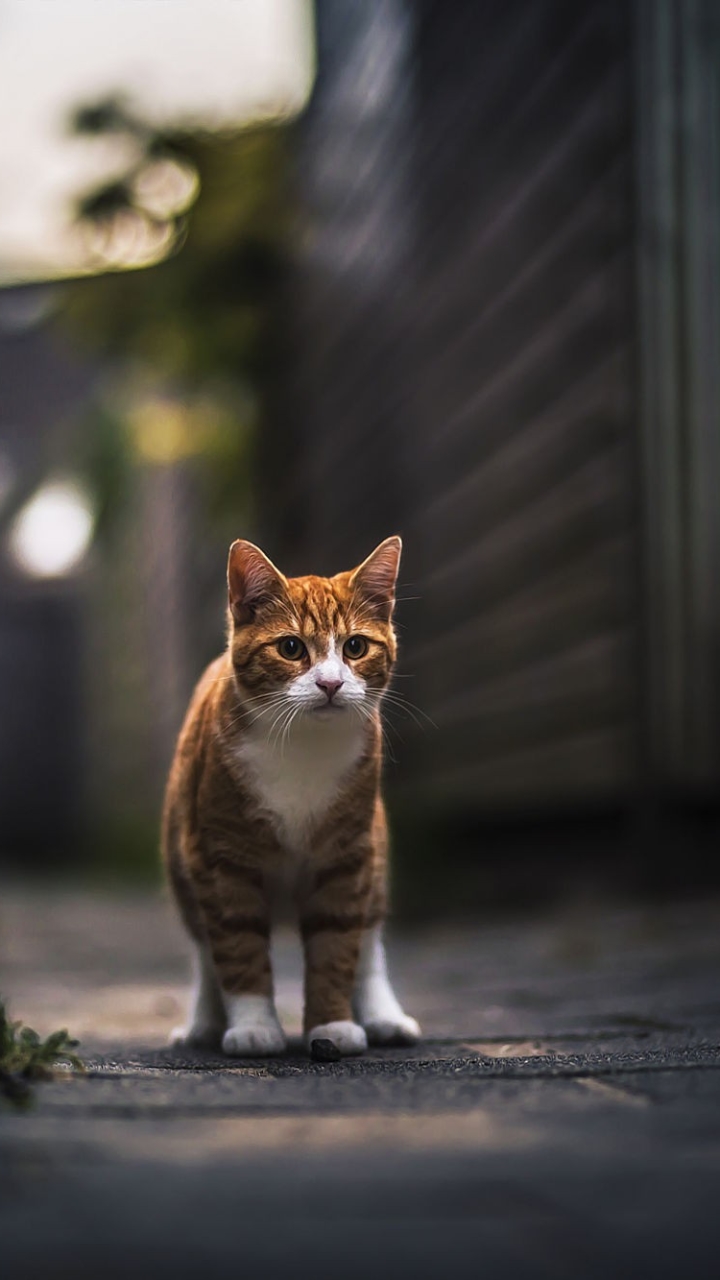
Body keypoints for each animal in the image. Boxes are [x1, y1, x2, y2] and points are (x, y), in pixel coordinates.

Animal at [161, 535, 420, 1054]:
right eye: (291, 648)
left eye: (355, 647)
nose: (331, 682)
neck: (303, 746)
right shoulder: (220, 859)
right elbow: (236, 949)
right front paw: (254, 1026)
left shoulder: (347, 857)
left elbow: (338, 947)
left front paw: (333, 1024)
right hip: (181, 859)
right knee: (203, 949)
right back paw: (203, 1023)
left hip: (375, 855)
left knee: (369, 943)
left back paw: (384, 1016)